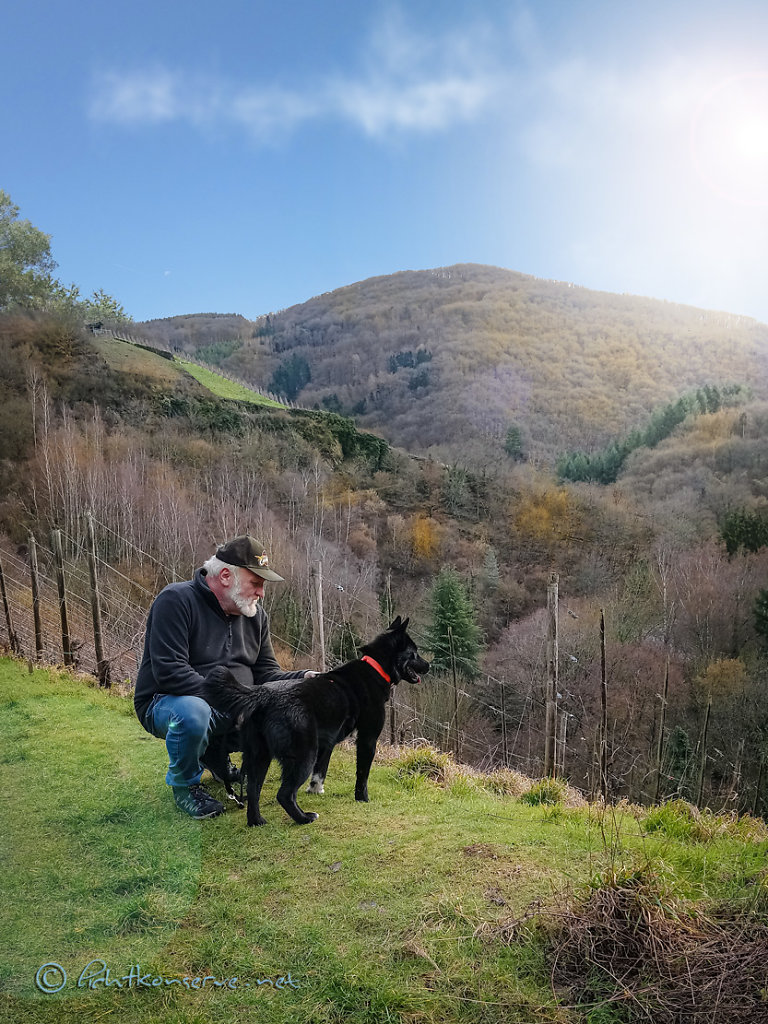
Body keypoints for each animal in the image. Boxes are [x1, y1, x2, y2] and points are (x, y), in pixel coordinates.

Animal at [202, 614, 428, 823]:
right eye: (414, 653)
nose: (429, 665)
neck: (375, 667)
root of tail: (265, 696)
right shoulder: (367, 739)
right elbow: (362, 774)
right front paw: (362, 798)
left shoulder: (327, 741)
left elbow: (321, 769)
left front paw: (315, 789)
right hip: (303, 754)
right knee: (284, 794)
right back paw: (304, 818)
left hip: (260, 756)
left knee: (253, 789)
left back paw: (257, 821)